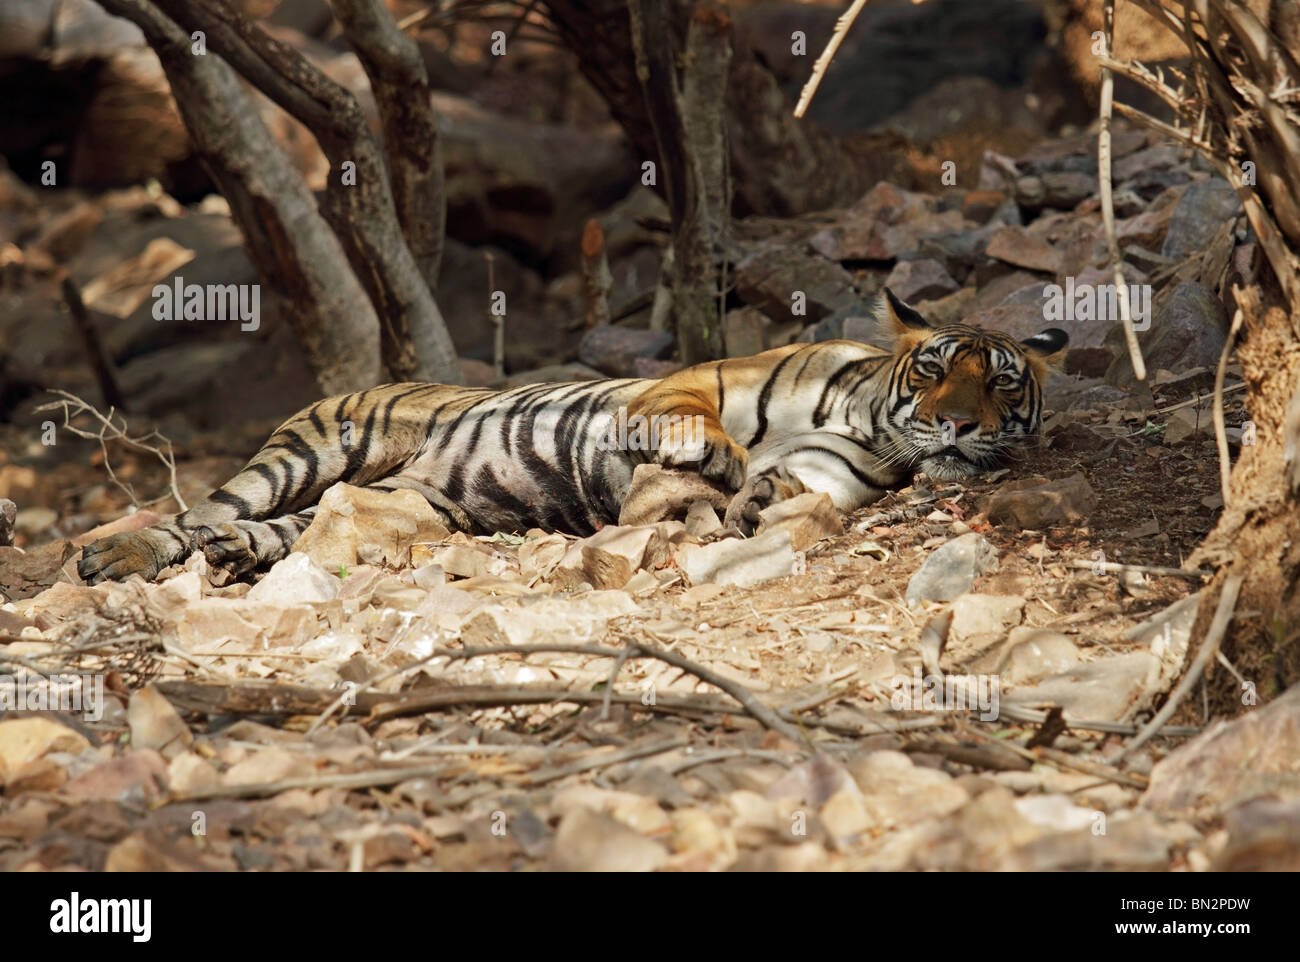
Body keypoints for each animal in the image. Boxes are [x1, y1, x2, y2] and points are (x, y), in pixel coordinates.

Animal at [76, 289, 1066, 582]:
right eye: (935, 371)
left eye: (1000, 382)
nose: (956, 423)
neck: (859, 411)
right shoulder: (692, 383)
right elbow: (707, 427)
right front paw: (722, 462)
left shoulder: (835, 473)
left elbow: (785, 488)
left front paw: (753, 498)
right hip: (312, 451)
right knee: (202, 511)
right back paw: (114, 557)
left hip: (401, 506)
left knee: (264, 532)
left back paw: (231, 559)